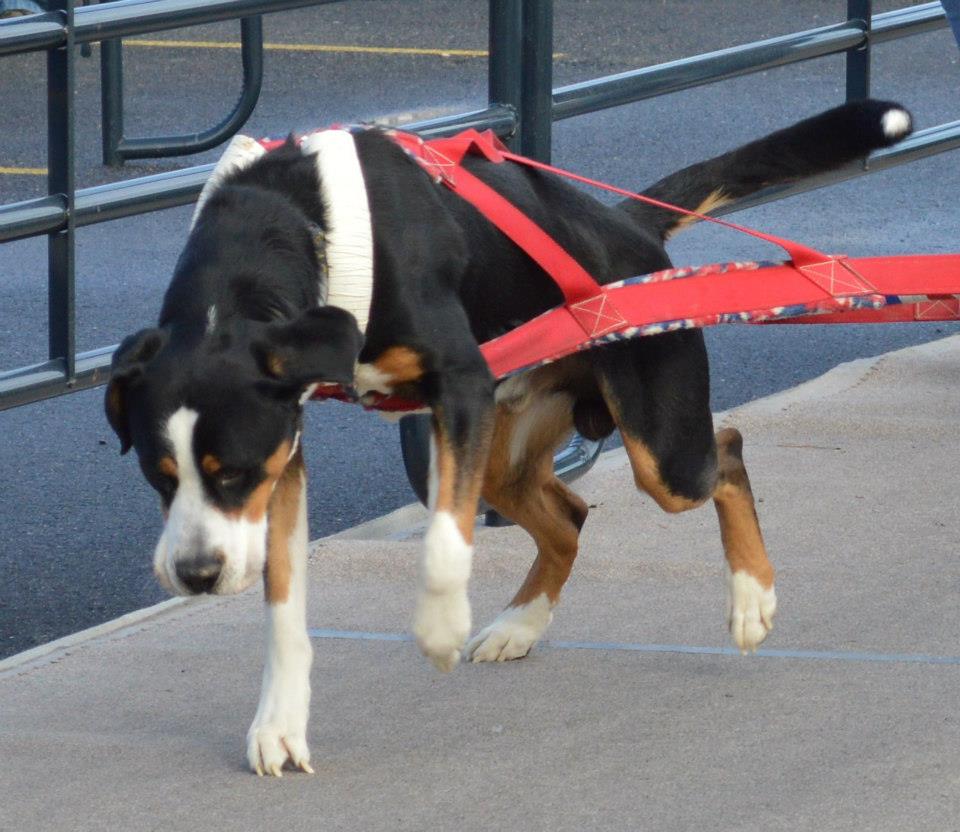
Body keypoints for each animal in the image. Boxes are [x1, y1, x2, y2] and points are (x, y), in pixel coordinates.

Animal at [107, 101, 916, 776]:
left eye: (233, 472)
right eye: (158, 476)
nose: (196, 574)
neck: (300, 220)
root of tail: (629, 230)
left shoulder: (456, 386)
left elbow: (443, 543)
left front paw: (438, 627)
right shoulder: (292, 445)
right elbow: (284, 603)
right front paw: (278, 725)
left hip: (656, 450)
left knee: (728, 451)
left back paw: (751, 599)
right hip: (503, 449)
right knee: (570, 516)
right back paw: (520, 624)